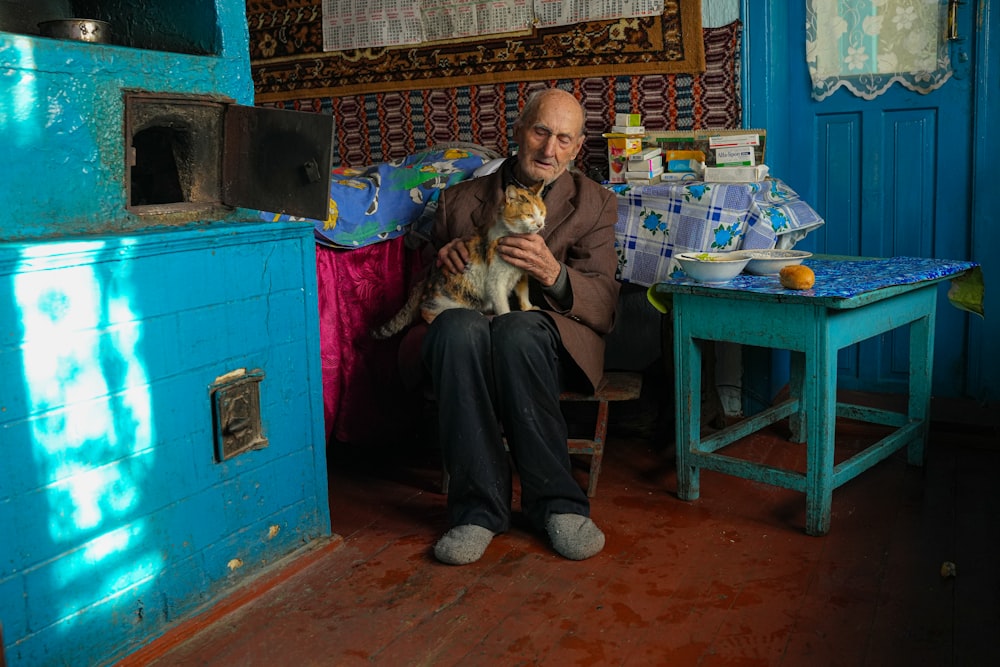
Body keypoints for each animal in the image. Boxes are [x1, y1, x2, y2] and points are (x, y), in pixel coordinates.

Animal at [374, 181, 548, 342]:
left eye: (541, 212)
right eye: (529, 215)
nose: (540, 224)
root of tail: (426, 281)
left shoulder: (522, 272)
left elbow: (524, 292)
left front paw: (528, 308)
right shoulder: (495, 281)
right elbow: (502, 304)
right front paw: (508, 316)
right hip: (450, 298)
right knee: (427, 311)